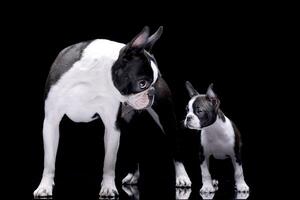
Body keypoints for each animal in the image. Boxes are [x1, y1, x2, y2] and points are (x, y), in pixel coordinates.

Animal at [33, 25, 190, 198]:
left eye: (157, 80)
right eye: (142, 83)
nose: (152, 92)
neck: (94, 77)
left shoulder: (112, 127)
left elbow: (109, 162)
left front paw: (108, 187)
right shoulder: (51, 122)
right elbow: (49, 161)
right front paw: (45, 187)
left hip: (167, 120)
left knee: (176, 150)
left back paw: (182, 177)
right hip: (127, 125)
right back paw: (133, 176)